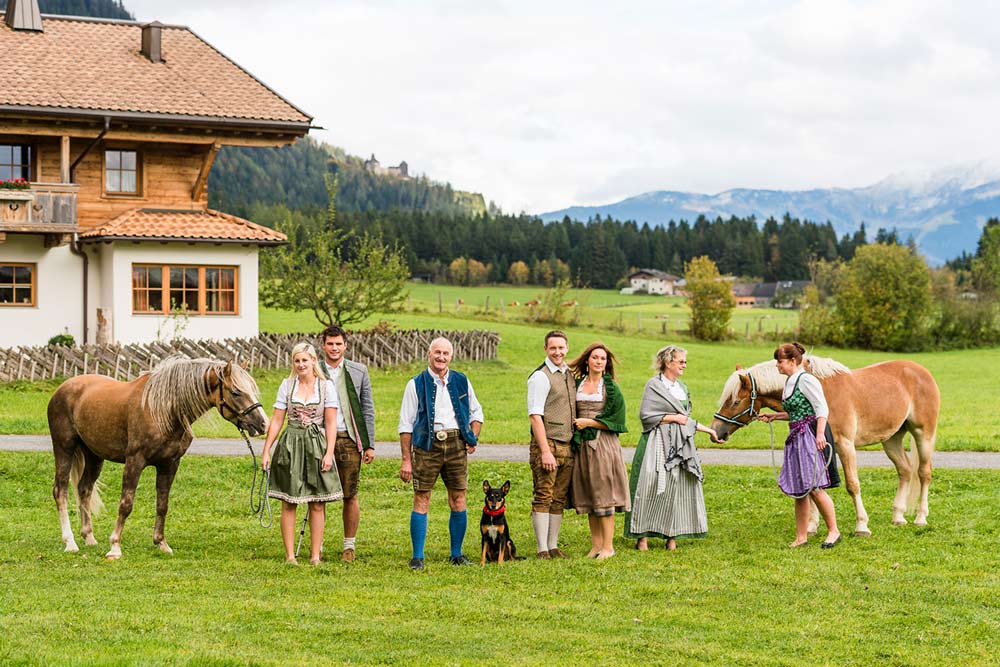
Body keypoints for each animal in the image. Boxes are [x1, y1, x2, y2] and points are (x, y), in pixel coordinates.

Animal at [47, 360, 268, 560]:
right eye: (236, 392)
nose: (263, 424)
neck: (162, 411)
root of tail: (63, 388)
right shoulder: (134, 462)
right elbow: (126, 504)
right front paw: (115, 547)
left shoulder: (169, 464)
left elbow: (162, 504)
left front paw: (161, 543)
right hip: (64, 449)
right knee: (61, 491)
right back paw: (70, 542)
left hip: (94, 456)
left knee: (84, 489)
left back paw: (89, 537)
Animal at [712, 354, 936, 536]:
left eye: (735, 402)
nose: (716, 432)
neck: (820, 393)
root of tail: (921, 370)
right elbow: (811, 484)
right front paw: (811, 526)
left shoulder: (845, 446)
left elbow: (852, 485)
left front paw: (862, 525)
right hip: (891, 439)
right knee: (905, 470)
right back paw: (898, 516)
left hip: (923, 435)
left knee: (923, 473)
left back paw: (921, 518)